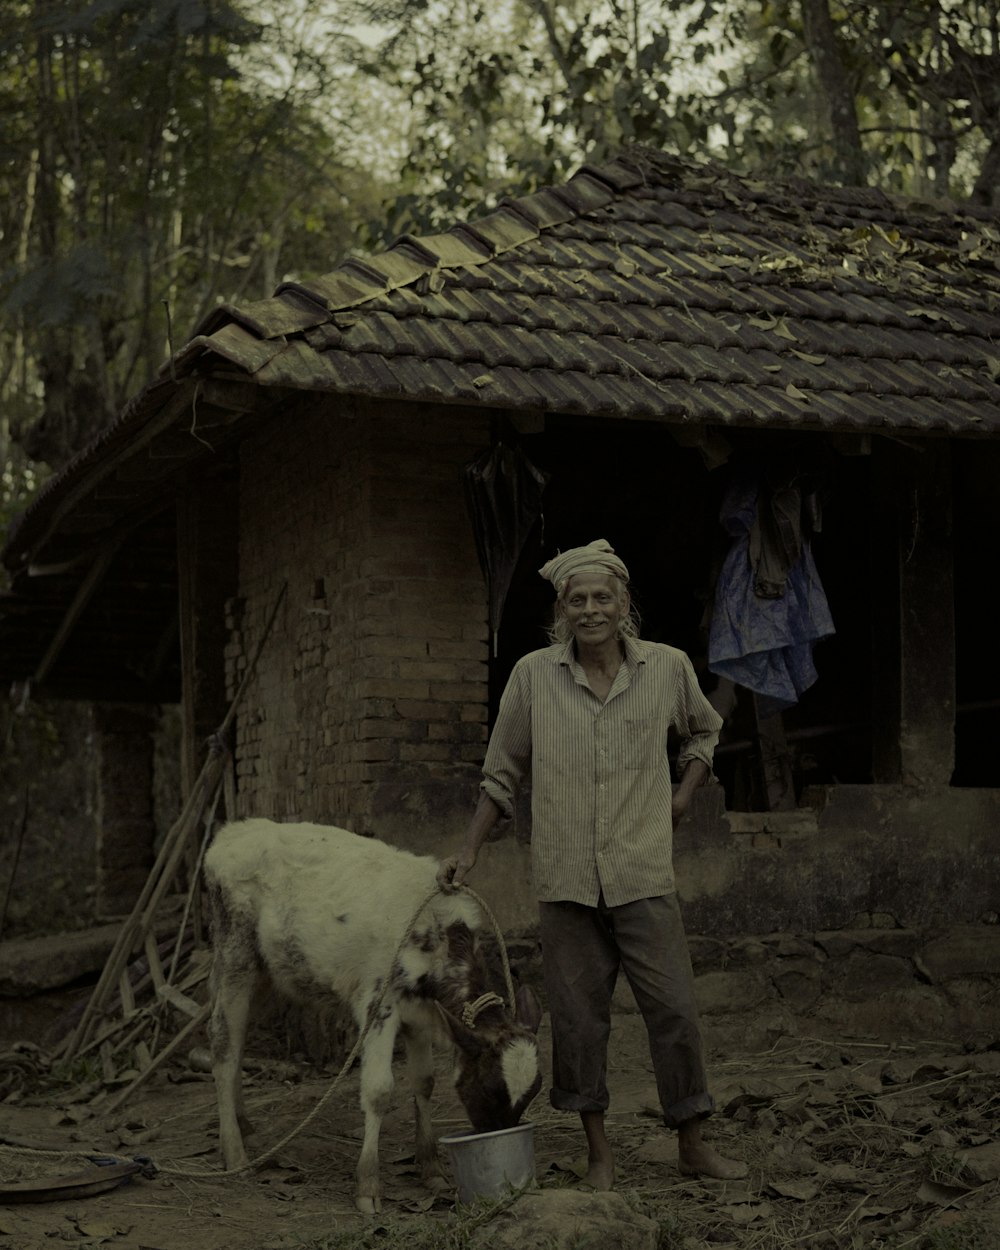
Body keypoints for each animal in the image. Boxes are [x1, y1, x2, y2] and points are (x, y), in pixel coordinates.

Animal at [201, 820, 540, 1210]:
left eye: (529, 1096)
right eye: (488, 1088)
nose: (493, 1133)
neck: (434, 936)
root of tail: (232, 833)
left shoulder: (422, 1013)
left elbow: (424, 1082)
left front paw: (432, 1172)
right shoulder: (379, 1005)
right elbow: (378, 1090)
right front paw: (368, 1187)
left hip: (264, 970)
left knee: (238, 1040)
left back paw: (244, 1125)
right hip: (234, 953)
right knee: (223, 1045)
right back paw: (235, 1154)